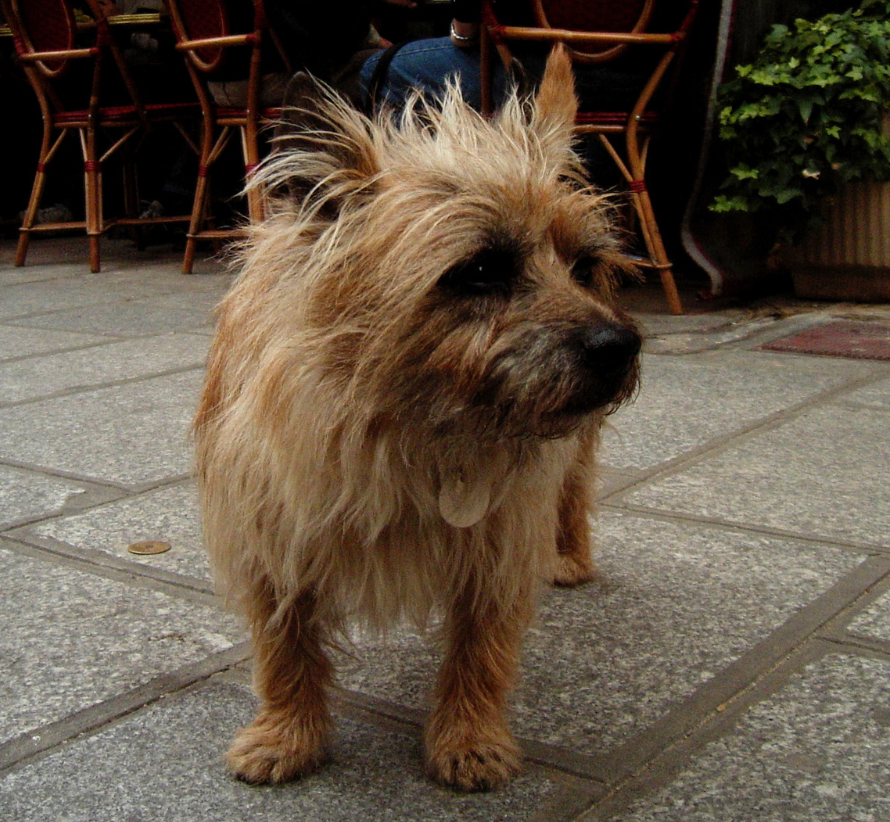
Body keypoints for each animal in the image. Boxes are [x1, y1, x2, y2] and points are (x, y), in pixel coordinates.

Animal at [194, 45, 640, 792]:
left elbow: (481, 648)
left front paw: (469, 738)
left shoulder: (497, 541)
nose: (621, 346)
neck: (412, 425)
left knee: (574, 492)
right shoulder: (271, 532)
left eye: (584, 266)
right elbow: (284, 643)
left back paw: (570, 557)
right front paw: (286, 734)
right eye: (481, 269)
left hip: (574, 451)